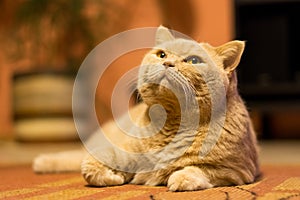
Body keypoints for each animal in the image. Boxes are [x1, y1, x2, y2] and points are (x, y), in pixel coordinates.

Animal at [31, 25, 258, 191]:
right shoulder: (120, 151)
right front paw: (113, 177)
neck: (173, 124)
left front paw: (180, 179)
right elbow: (89, 166)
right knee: (77, 156)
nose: (168, 63)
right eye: (162, 55)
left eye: (193, 60)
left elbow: (196, 170)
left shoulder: (236, 171)